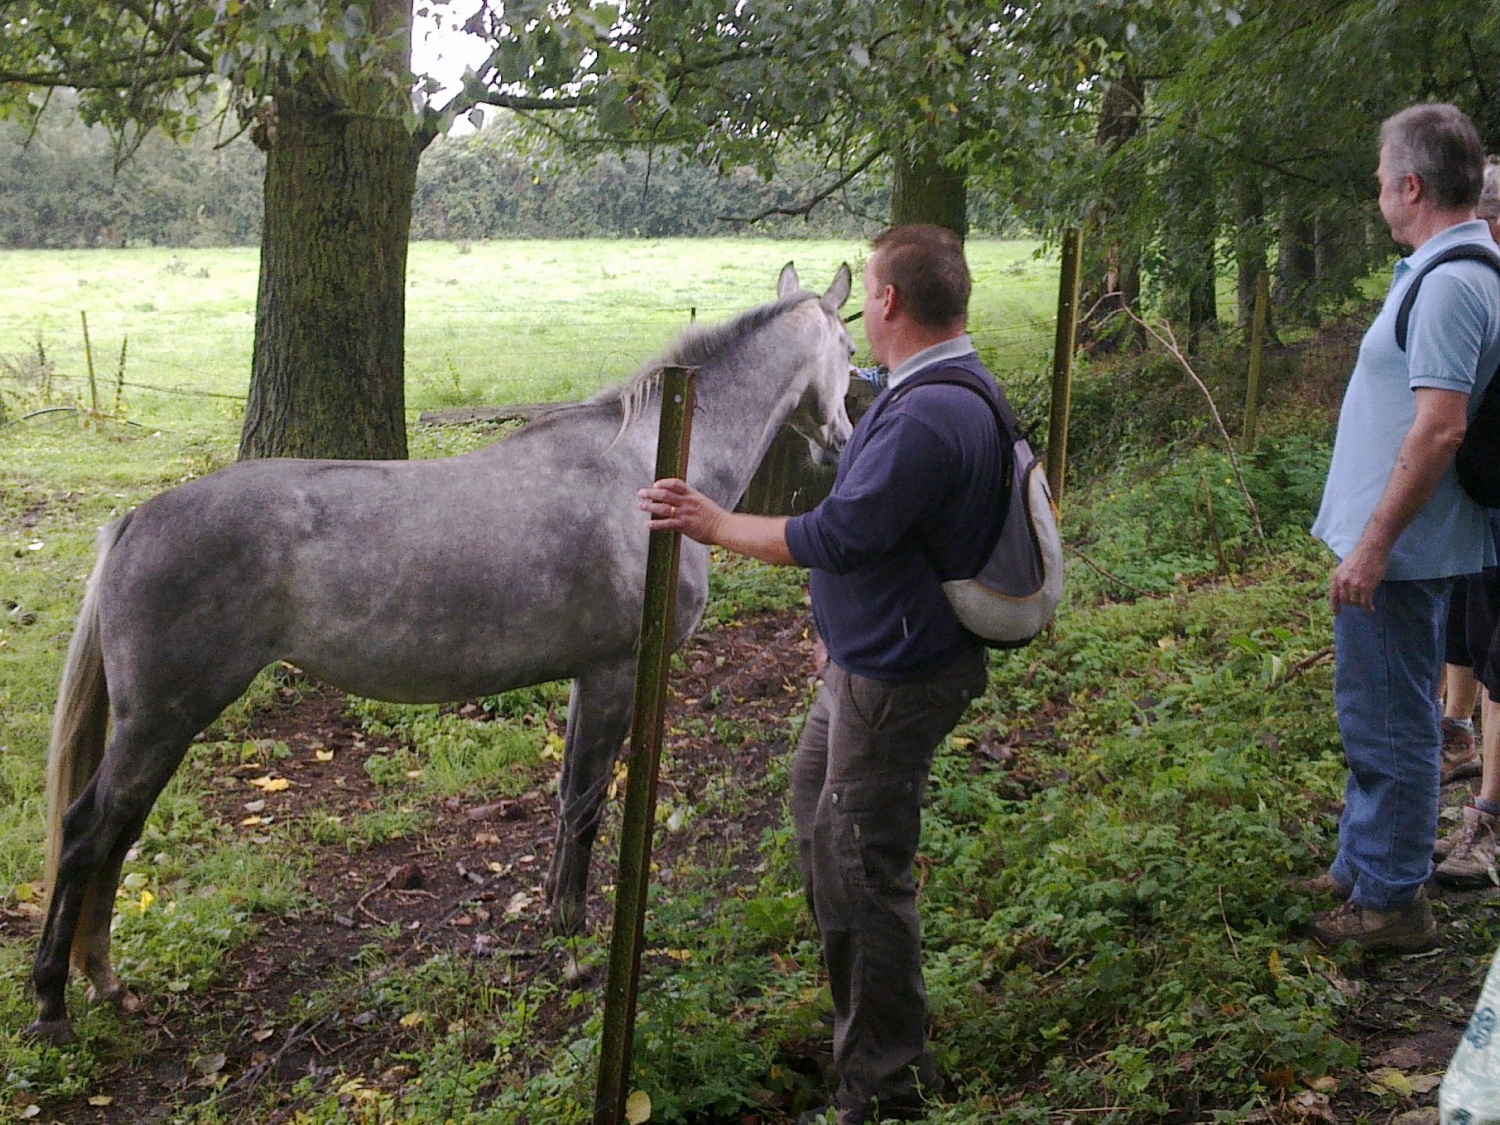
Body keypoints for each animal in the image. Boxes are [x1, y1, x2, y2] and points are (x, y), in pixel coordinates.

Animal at [29, 259, 858, 1044]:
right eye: (849, 351)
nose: (845, 439)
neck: (646, 472)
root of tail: (133, 522)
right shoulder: (616, 672)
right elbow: (588, 802)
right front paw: (572, 933)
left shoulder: (586, 677)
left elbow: (567, 794)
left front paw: (553, 914)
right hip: (160, 721)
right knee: (86, 833)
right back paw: (52, 1003)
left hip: (161, 728)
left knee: (119, 834)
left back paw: (105, 980)